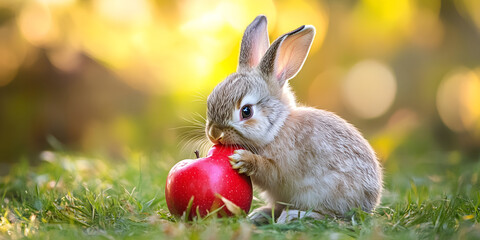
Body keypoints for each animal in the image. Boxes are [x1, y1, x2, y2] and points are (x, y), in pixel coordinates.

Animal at [203, 15, 382, 225]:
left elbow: (268, 170)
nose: (214, 134)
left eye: (246, 112)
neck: (277, 129)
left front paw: (243, 160)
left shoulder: (281, 167)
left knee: (329, 215)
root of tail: (370, 202)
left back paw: (293, 216)